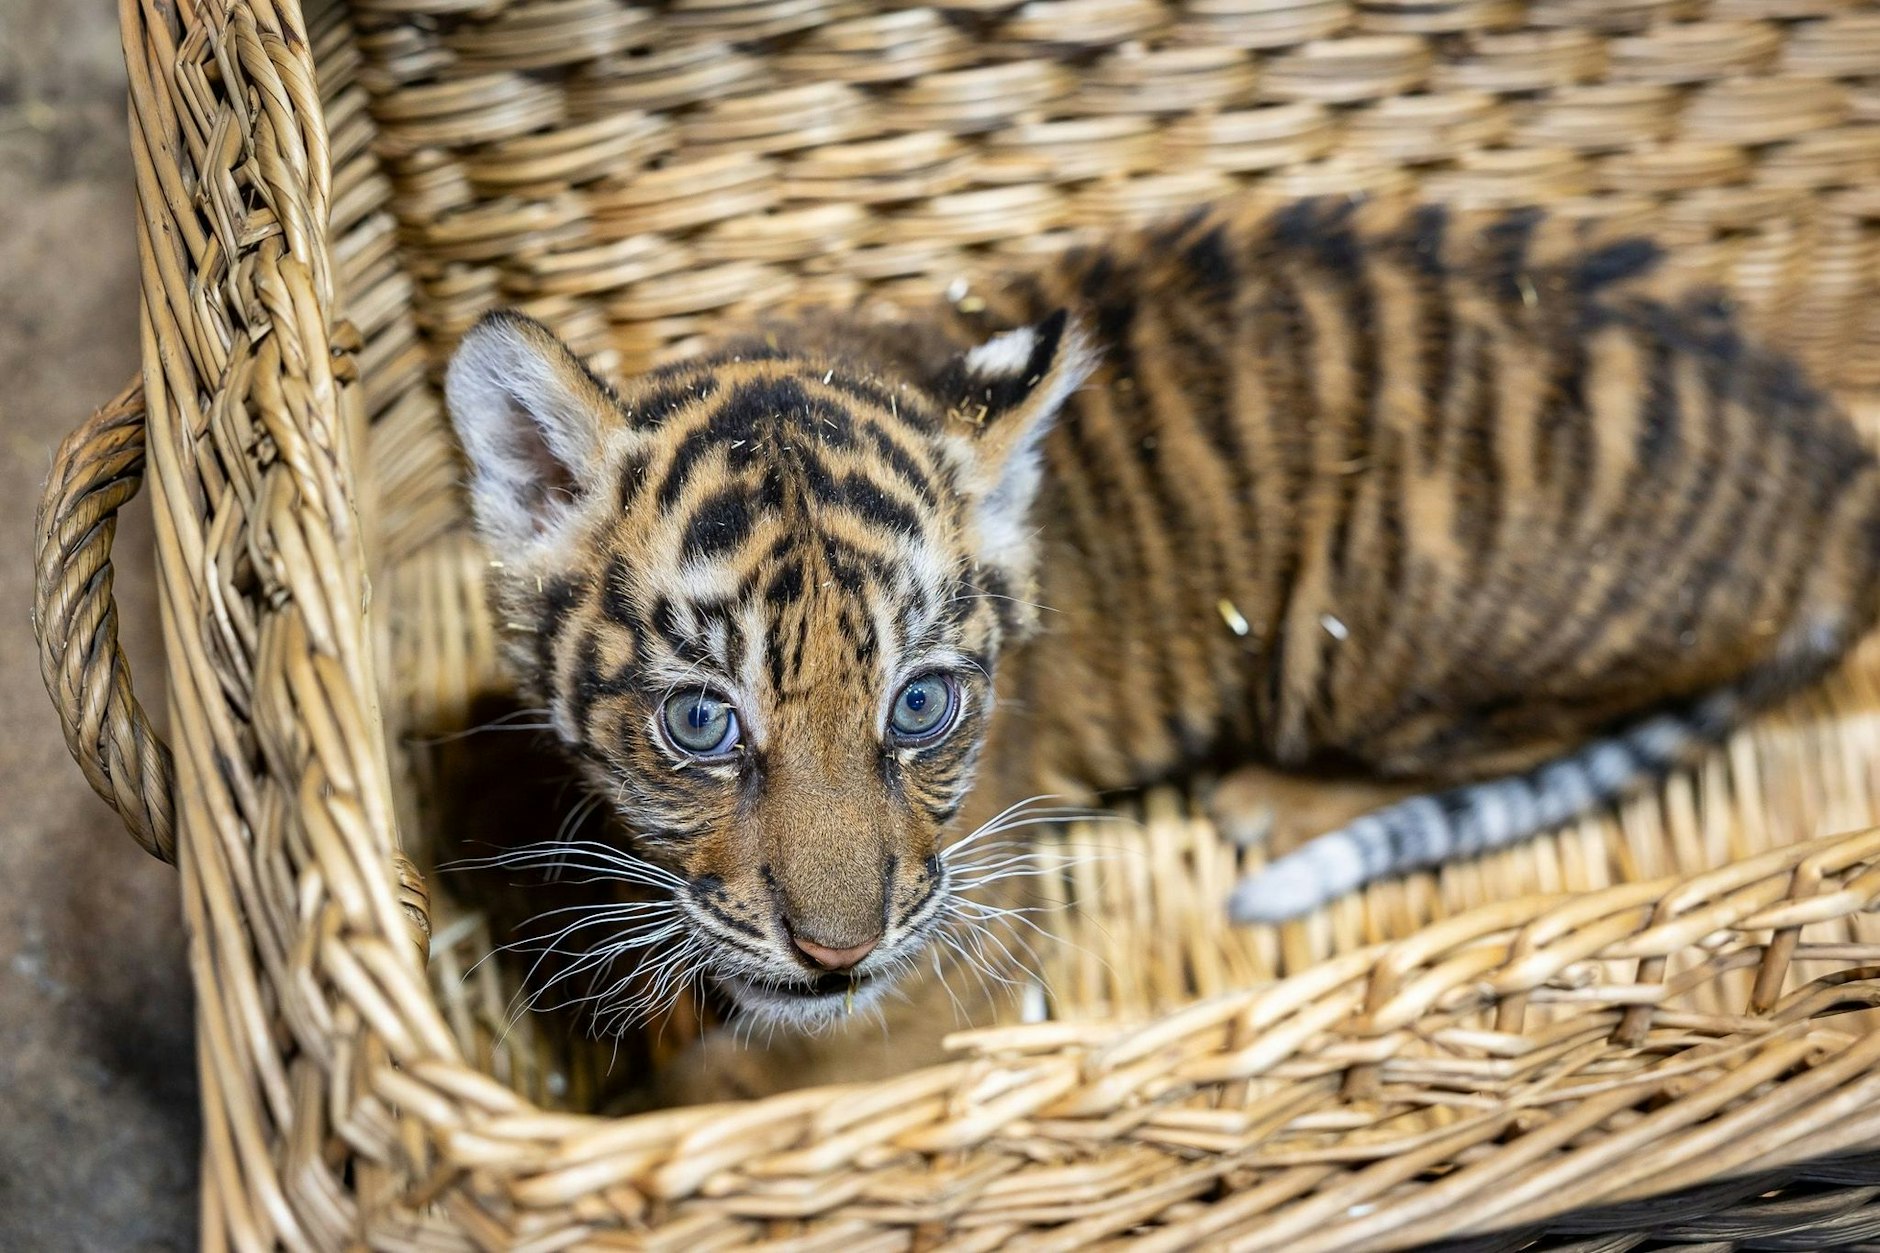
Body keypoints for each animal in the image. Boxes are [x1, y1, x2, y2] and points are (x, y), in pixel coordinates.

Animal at [443, 195, 1880, 1099]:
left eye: (919, 707)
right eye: (701, 720)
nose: (836, 954)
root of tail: (1835, 469)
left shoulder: (955, 956)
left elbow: (747, 1076)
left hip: (1366, 627)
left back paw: (1270, 801)